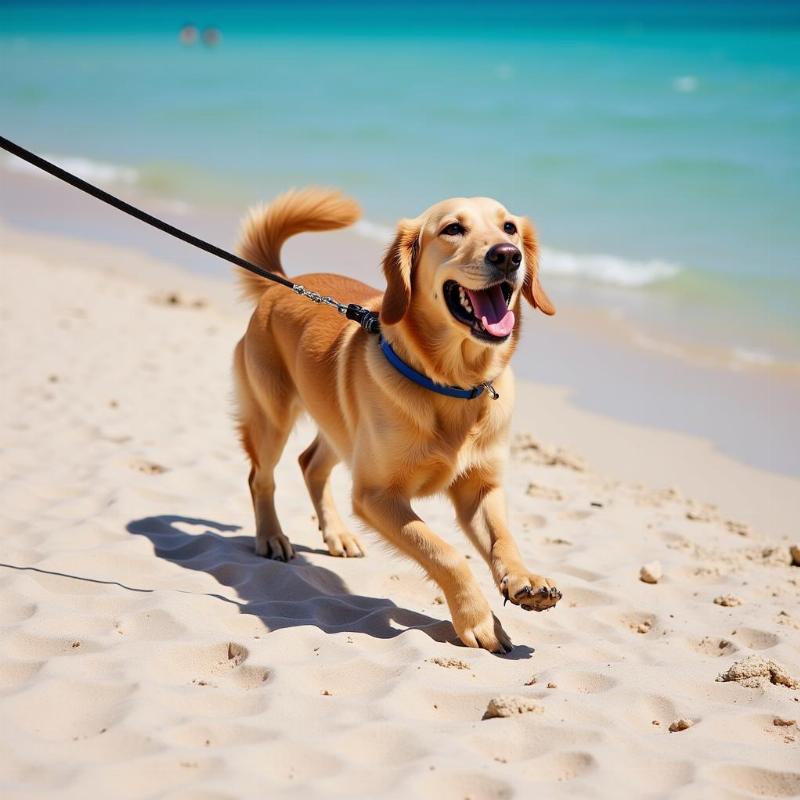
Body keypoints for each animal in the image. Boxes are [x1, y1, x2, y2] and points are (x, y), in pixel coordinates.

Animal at [234, 188, 564, 648]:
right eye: (453, 228)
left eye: (509, 228)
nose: (507, 256)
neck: (453, 385)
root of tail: (280, 283)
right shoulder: (376, 495)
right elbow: (445, 553)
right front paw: (478, 621)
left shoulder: (480, 489)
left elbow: (503, 540)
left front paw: (525, 580)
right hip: (273, 418)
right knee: (260, 477)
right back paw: (271, 536)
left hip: (340, 429)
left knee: (311, 464)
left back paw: (337, 534)